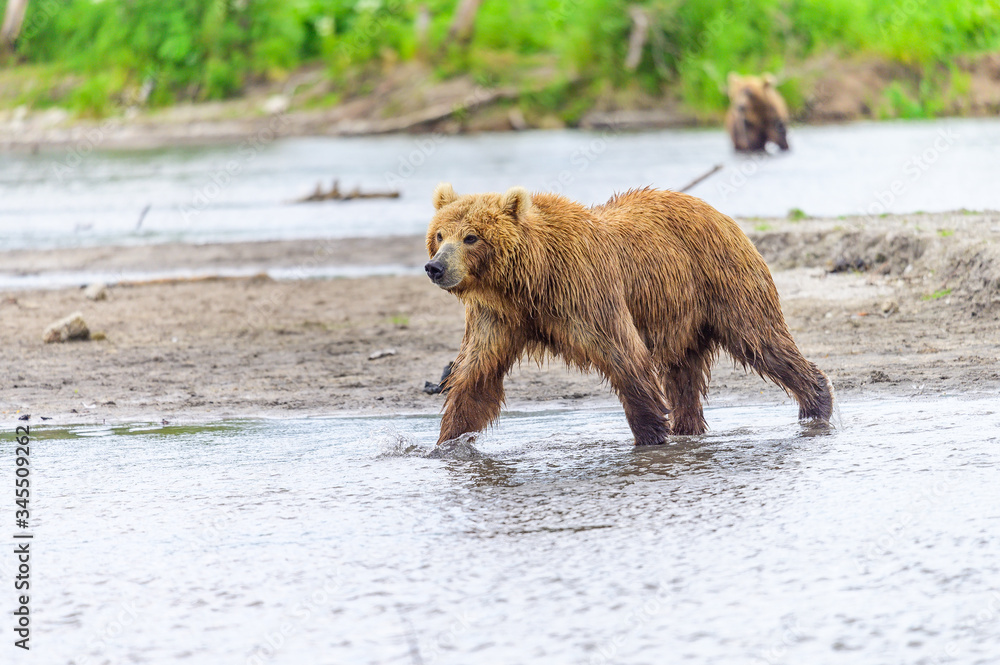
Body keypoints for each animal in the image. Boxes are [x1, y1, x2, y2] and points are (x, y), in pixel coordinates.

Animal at [424, 183, 832, 446]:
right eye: (440, 234)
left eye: (471, 237)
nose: (435, 267)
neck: (529, 281)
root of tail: (714, 210)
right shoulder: (497, 317)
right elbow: (475, 376)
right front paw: (446, 442)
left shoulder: (586, 292)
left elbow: (625, 358)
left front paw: (651, 435)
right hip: (680, 313)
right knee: (684, 373)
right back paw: (689, 427)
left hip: (722, 279)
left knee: (760, 339)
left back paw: (816, 403)